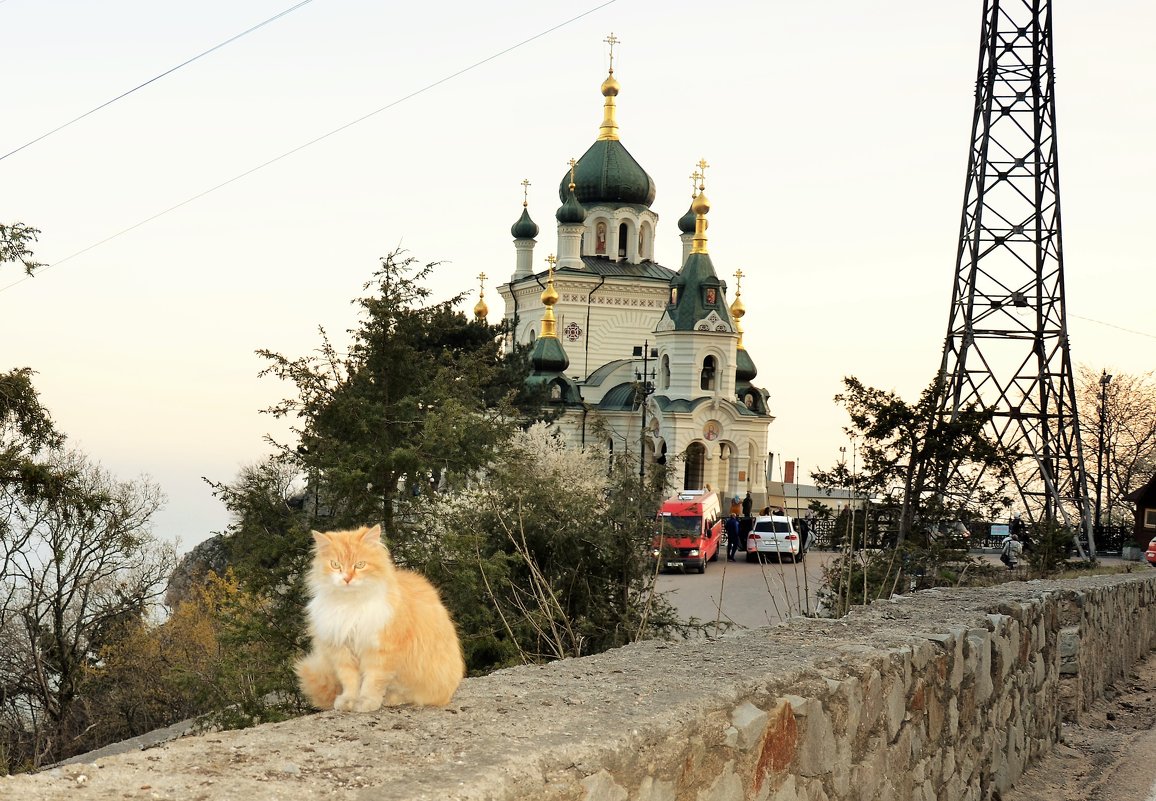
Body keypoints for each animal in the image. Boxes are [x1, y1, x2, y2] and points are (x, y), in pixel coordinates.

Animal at [293, 527, 464, 707]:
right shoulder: (342, 652)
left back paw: (390, 700)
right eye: (335, 565)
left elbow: (373, 681)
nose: (347, 578)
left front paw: (366, 702)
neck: (351, 603)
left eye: (360, 565)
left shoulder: (380, 651)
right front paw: (348, 700)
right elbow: (350, 681)